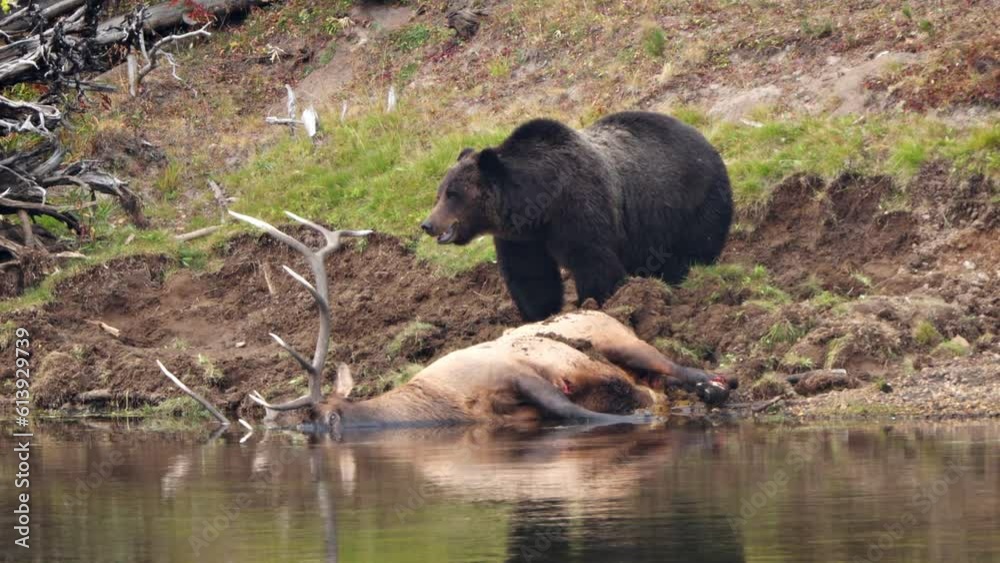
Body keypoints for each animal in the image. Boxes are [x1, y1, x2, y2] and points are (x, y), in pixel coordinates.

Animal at [157, 211, 735, 432]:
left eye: (323, 423)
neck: (441, 407)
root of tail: (593, 305)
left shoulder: (516, 375)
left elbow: (576, 413)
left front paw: (631, 420)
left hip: (619, 338)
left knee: (678, 368)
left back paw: (716, 386)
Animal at [420, 110, 733, 321]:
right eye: (440, 192)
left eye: (454, 194)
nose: (428, 224)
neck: (539, 206)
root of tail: (705, 140)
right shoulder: (520, 237)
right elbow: (530, 275)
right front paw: (540, 312)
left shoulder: (578, 208)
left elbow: (593, 261)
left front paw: (596, 301)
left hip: (691, 201)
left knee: (692, 250)